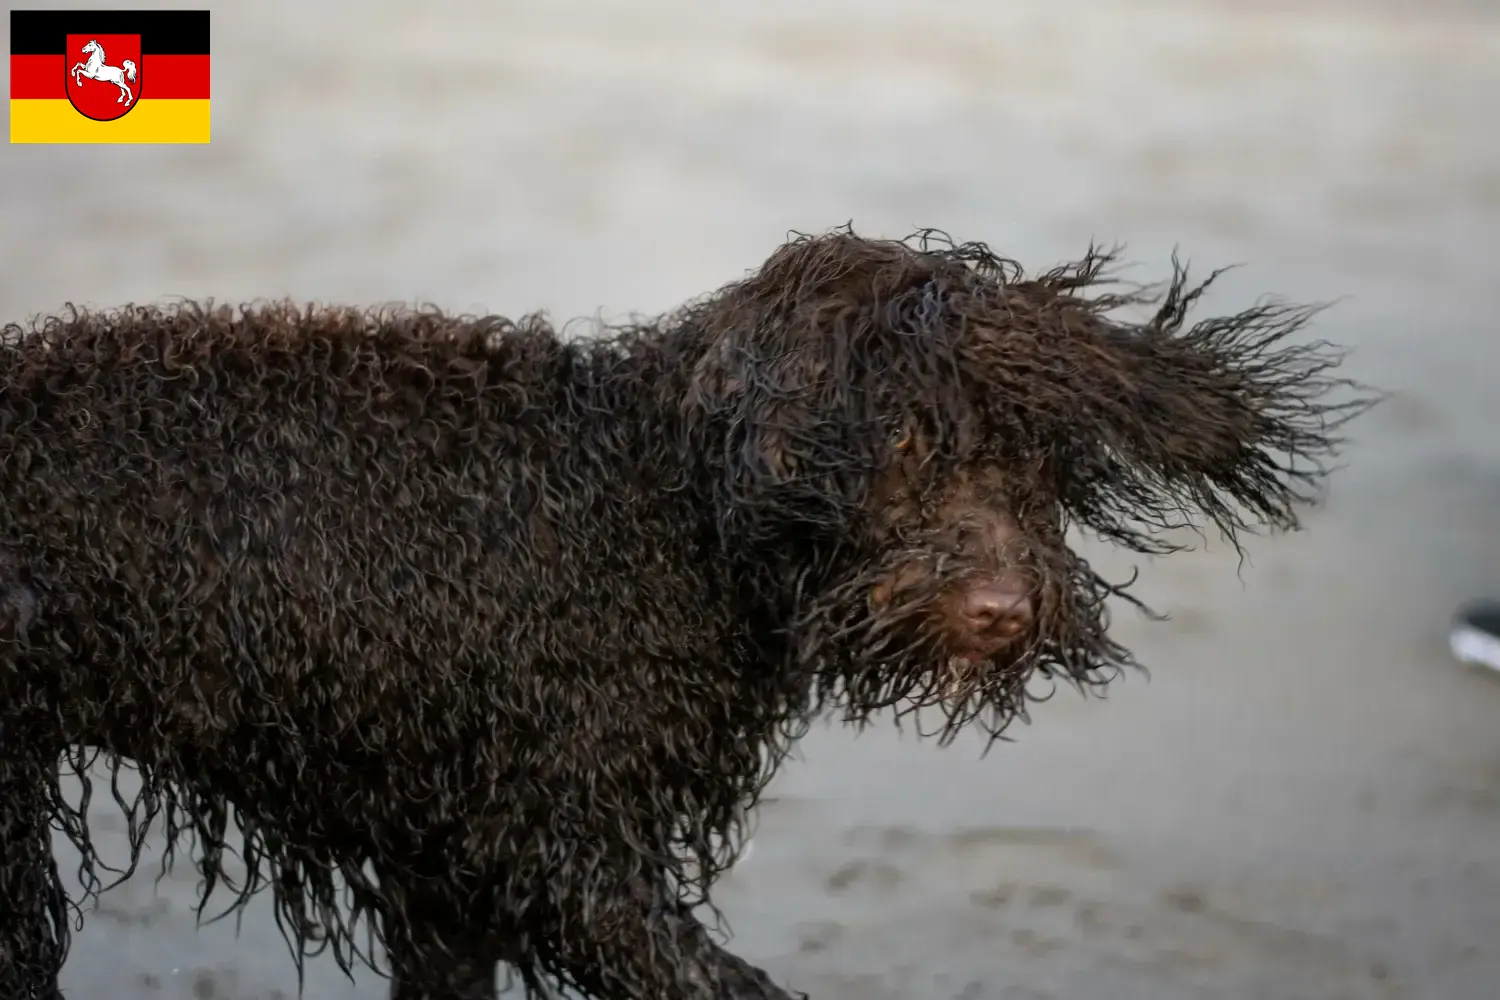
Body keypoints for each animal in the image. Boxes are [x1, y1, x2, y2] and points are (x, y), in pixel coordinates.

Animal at [0, 229, 1374, 1000]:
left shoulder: (448, 863)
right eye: (902, 449)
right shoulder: (563, 849)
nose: (1002, 608)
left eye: (1032, 459)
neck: (657, 508)